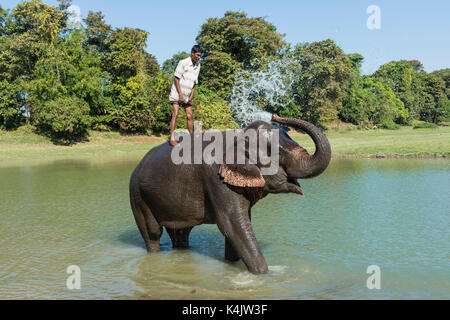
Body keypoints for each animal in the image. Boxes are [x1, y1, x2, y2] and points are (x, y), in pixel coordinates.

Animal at [128, 115, 332, 276]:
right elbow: (233, 226)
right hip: (138, 196)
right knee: (153, 233)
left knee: (181, 233)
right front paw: (265, 276)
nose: (275, 115)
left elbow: (241, 224)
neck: (240, 137)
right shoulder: (217, 180)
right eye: (277, 154)